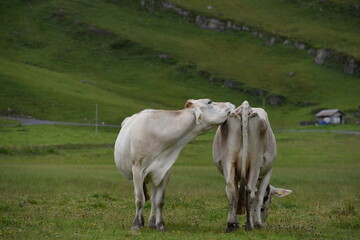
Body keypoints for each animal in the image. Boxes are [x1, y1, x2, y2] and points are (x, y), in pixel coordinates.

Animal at [114, 99, 235, 231]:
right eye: (209, 102)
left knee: (153, 199)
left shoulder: (164, 170)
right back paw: (141, 220)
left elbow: (159, 201)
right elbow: (140, 199)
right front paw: (136, 224)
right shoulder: (137, 169)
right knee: (141, 195)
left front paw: (160, 225)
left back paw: (151, 222)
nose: (230, 103)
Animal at [212, 100, 292, 232]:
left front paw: (235, 222)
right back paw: (250, 225)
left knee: (231, 189)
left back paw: (231, 224)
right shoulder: (268, 172)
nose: (264, 221)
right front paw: (257, 223)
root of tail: (245, 107)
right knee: (250, 191)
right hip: (255, 161)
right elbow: (258, 197)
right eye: (269, 201)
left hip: (228, 159)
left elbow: (236, 193)